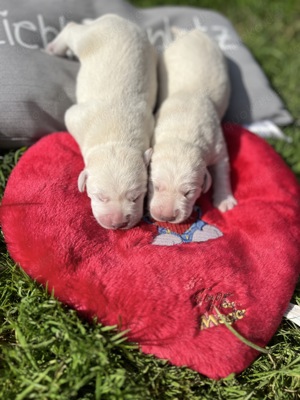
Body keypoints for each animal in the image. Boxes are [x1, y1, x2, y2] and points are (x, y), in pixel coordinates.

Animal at [47, 15, 157, 230]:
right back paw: (54, 47)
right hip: (87, 39)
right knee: (72, 29)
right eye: (100, 197)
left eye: (136, 196)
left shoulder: (149, 120)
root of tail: (117, 18)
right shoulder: (75, 117)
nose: (119, 223)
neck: (116, 138)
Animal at [149, 29, 238, 223]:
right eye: (156, 186)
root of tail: (191, 32)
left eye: (188, 192)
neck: (182, 134)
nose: (166, 217)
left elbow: (223, 170)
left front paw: (224, 200)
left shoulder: (217, 145)